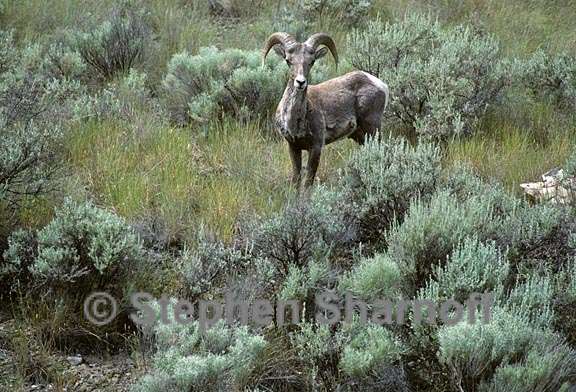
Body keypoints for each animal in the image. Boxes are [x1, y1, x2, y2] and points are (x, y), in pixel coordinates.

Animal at [264, 32, 390, 188]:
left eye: (311, 61)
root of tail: (380, 85)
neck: (296, 119)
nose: (300, 82)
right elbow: (296, 179)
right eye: (288, 60)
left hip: (373, 129)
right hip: (360, 136)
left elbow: (308, 182)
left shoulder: (316, 148)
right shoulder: (293, 147)